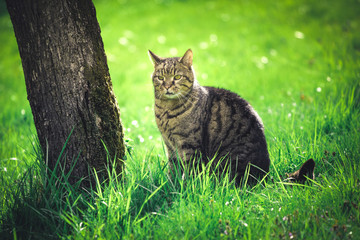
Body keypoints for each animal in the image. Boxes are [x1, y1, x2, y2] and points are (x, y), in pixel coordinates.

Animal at [149, 48, 270, 184]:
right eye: (160, 78)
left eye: (177, 77)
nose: (167, 86)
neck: (166, 110)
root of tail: (265, 175)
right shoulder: (170, 145)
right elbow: (173, 168)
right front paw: (171, 184)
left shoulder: (190, 145)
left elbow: (191, 171)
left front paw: (186, 186)